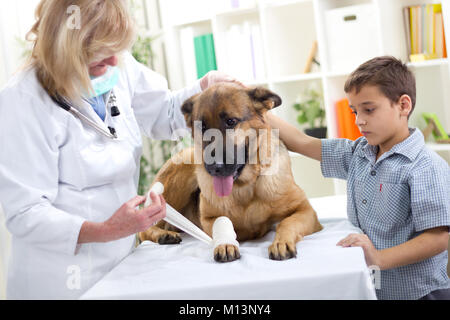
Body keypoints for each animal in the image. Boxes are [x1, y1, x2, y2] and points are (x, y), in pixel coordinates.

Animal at [139, 83, 322, 262]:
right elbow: (224, 222)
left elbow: (287, 223)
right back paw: (164, 235)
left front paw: (281, 242)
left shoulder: (305, 210)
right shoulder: (208, 219)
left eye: (231, 121)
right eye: (202, 126)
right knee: (144, 229)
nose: (215, 168)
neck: (244, 187)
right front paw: (225, 244)